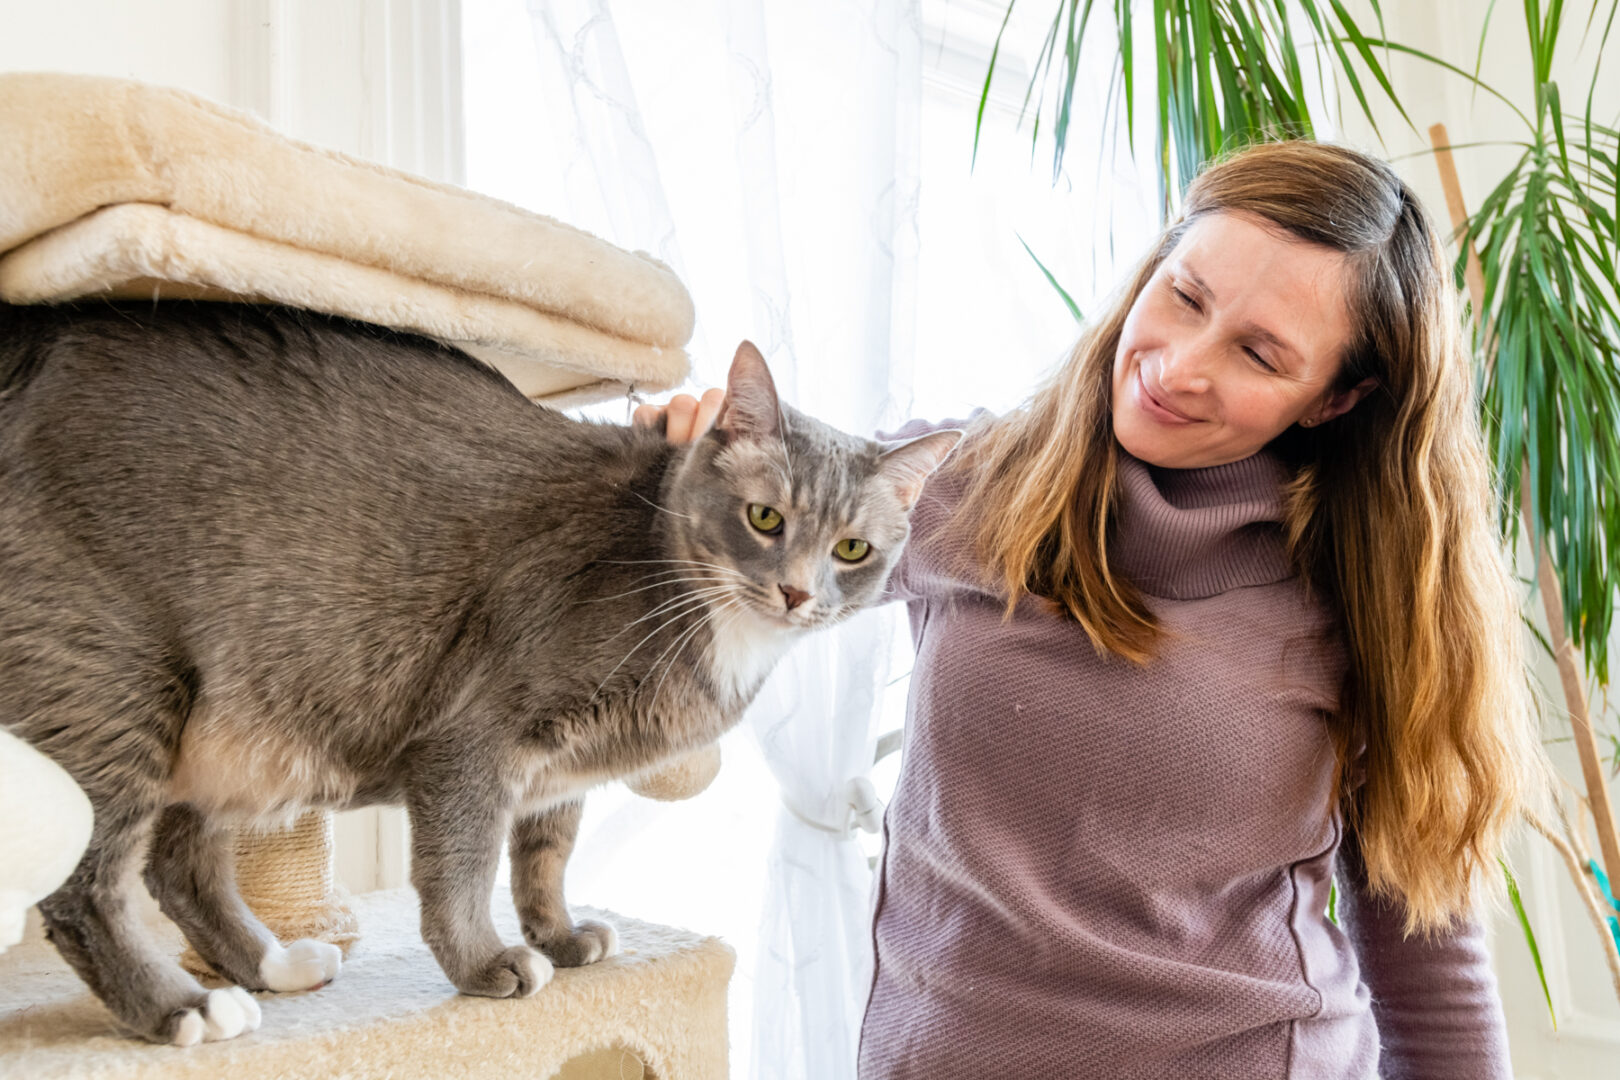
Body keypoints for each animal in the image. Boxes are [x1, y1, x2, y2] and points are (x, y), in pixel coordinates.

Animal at [0, 299, 959, 1042]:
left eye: (852, 549)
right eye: (765, 517)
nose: (797, 592)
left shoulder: (562, 772)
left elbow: (545, 855)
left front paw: (561, 937)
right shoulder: (475, 737)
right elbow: (462, 861)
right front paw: (488, 961)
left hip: (229, 735)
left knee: (180, 865)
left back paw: (270, 966)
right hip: (116, 682)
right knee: (86, 886)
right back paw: (183, 1009)